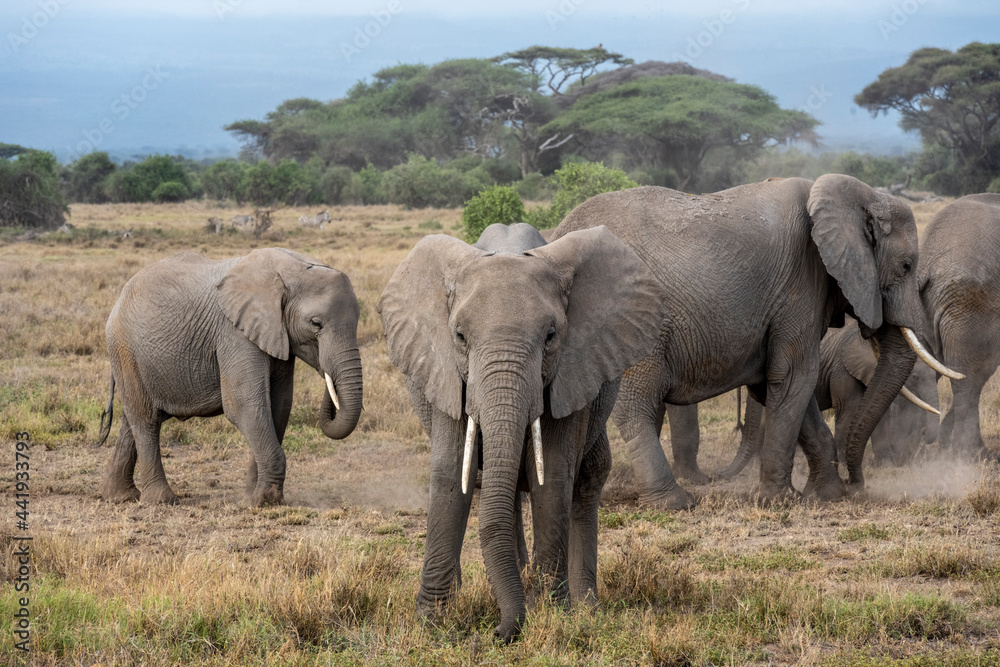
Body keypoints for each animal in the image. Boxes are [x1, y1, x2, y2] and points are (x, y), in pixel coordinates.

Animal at [97, 248, 363, 506]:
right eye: (316, 323)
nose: (325, 372)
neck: (291, 269)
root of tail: (119, 298)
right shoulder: (234, 334)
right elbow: (245, 407)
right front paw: (265, 501)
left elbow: (279, 408)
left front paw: (251, 498)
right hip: (124, 348)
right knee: (146, 419)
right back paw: (161, 500)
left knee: (133, 419)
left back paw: (120, 496)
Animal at [377, 223, 664, 641]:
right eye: (459, 337)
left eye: (550, 337)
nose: (497, 632)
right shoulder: (448, 374)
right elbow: (451, 474)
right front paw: (432, 623)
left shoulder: (568, 372)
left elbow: (553, 479)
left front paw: (553, 613)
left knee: (588, 478)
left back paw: (585, 606)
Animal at [552, 175, 961, 509]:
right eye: (906, 266)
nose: (857, 485)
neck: (856, 195)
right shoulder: (801, 284)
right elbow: (794, 376)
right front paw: (780, 500)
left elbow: (779, 386)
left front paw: (825, 496)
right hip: (630, 320)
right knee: (637, 402)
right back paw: (674, 503)